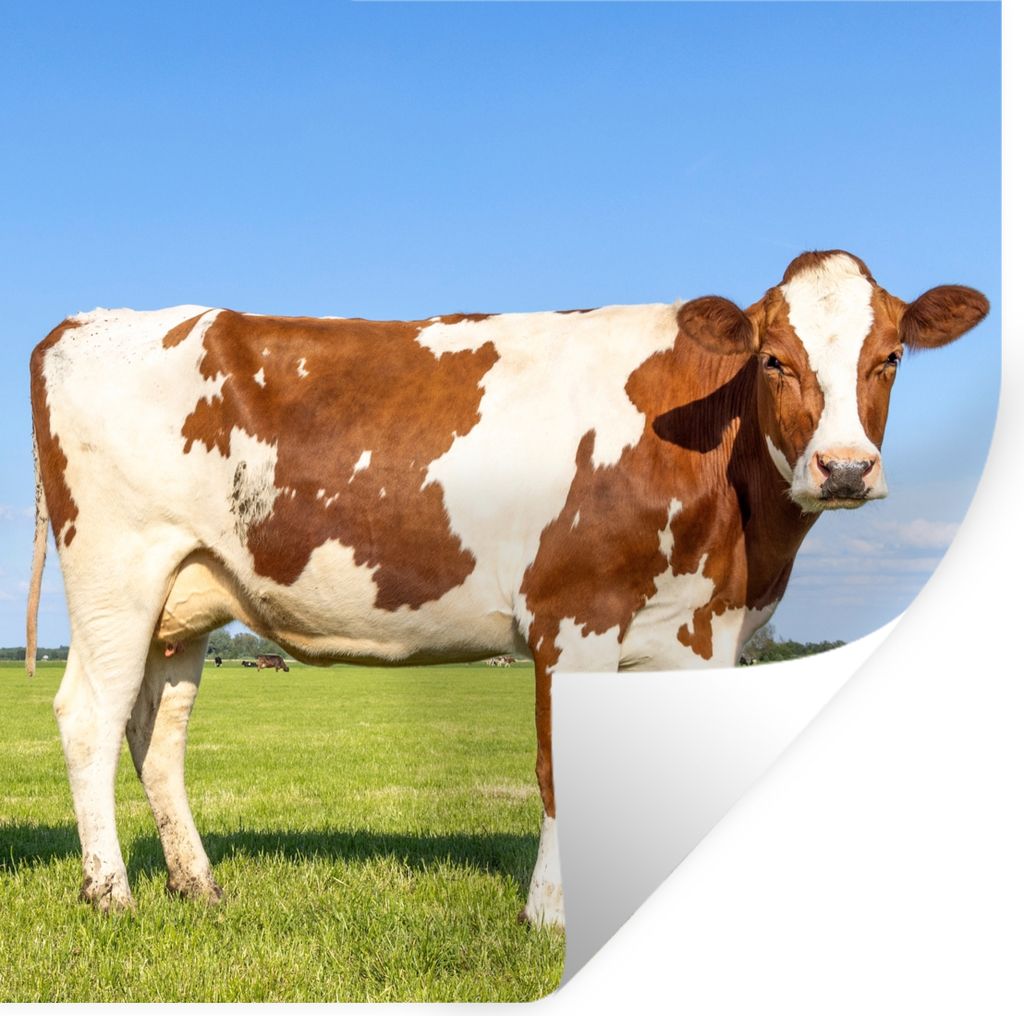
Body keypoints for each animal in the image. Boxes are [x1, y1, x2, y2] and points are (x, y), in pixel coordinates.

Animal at [25, 250, 987, 928]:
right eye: (777, 360)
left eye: (891, 356)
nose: (845, 469)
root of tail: (88, 321)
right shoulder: (575, 618)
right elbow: (560, 771)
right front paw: (552, 916)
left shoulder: (700, 633)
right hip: (116, 571)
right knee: (89, 717)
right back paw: (110, 893)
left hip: (184, 598)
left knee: (157, 731)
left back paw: (198, 885)